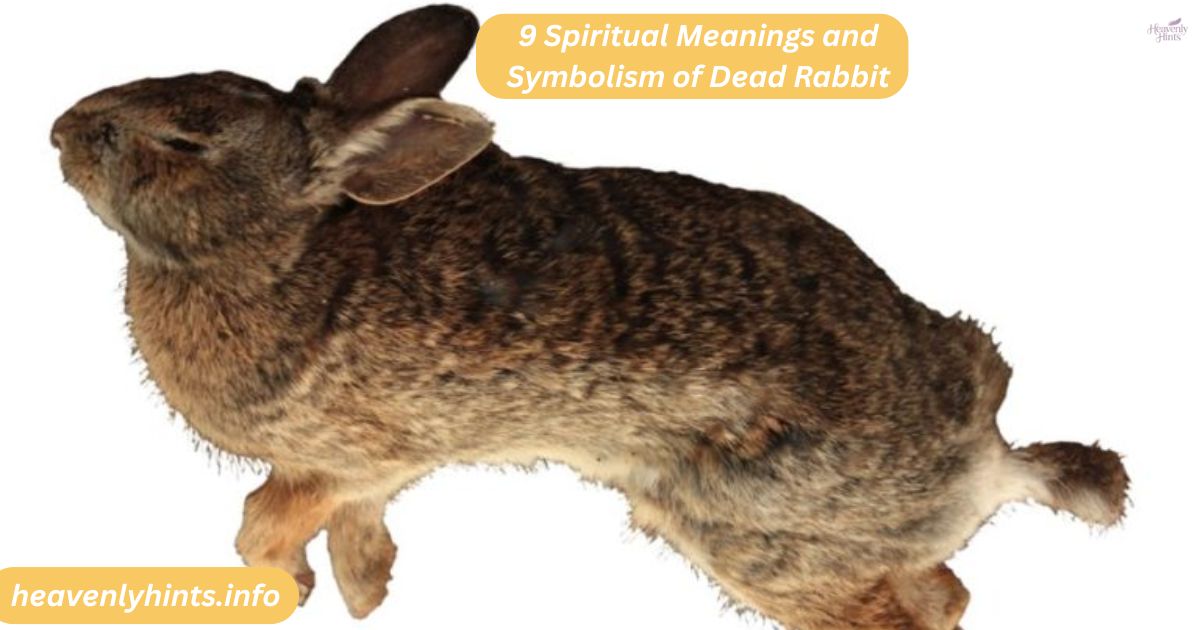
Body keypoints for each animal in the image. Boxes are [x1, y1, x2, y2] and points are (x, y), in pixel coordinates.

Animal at [51, 5, 1128, 629]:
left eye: (183, 142)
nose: (61, 131)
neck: (283, 251)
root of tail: (987, 461)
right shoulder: (374, 471)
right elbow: (356, 520)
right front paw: (366, 591)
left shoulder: (353, 453)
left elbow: (268, 520)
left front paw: (290, 586)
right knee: (945, 593)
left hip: (754, 546)